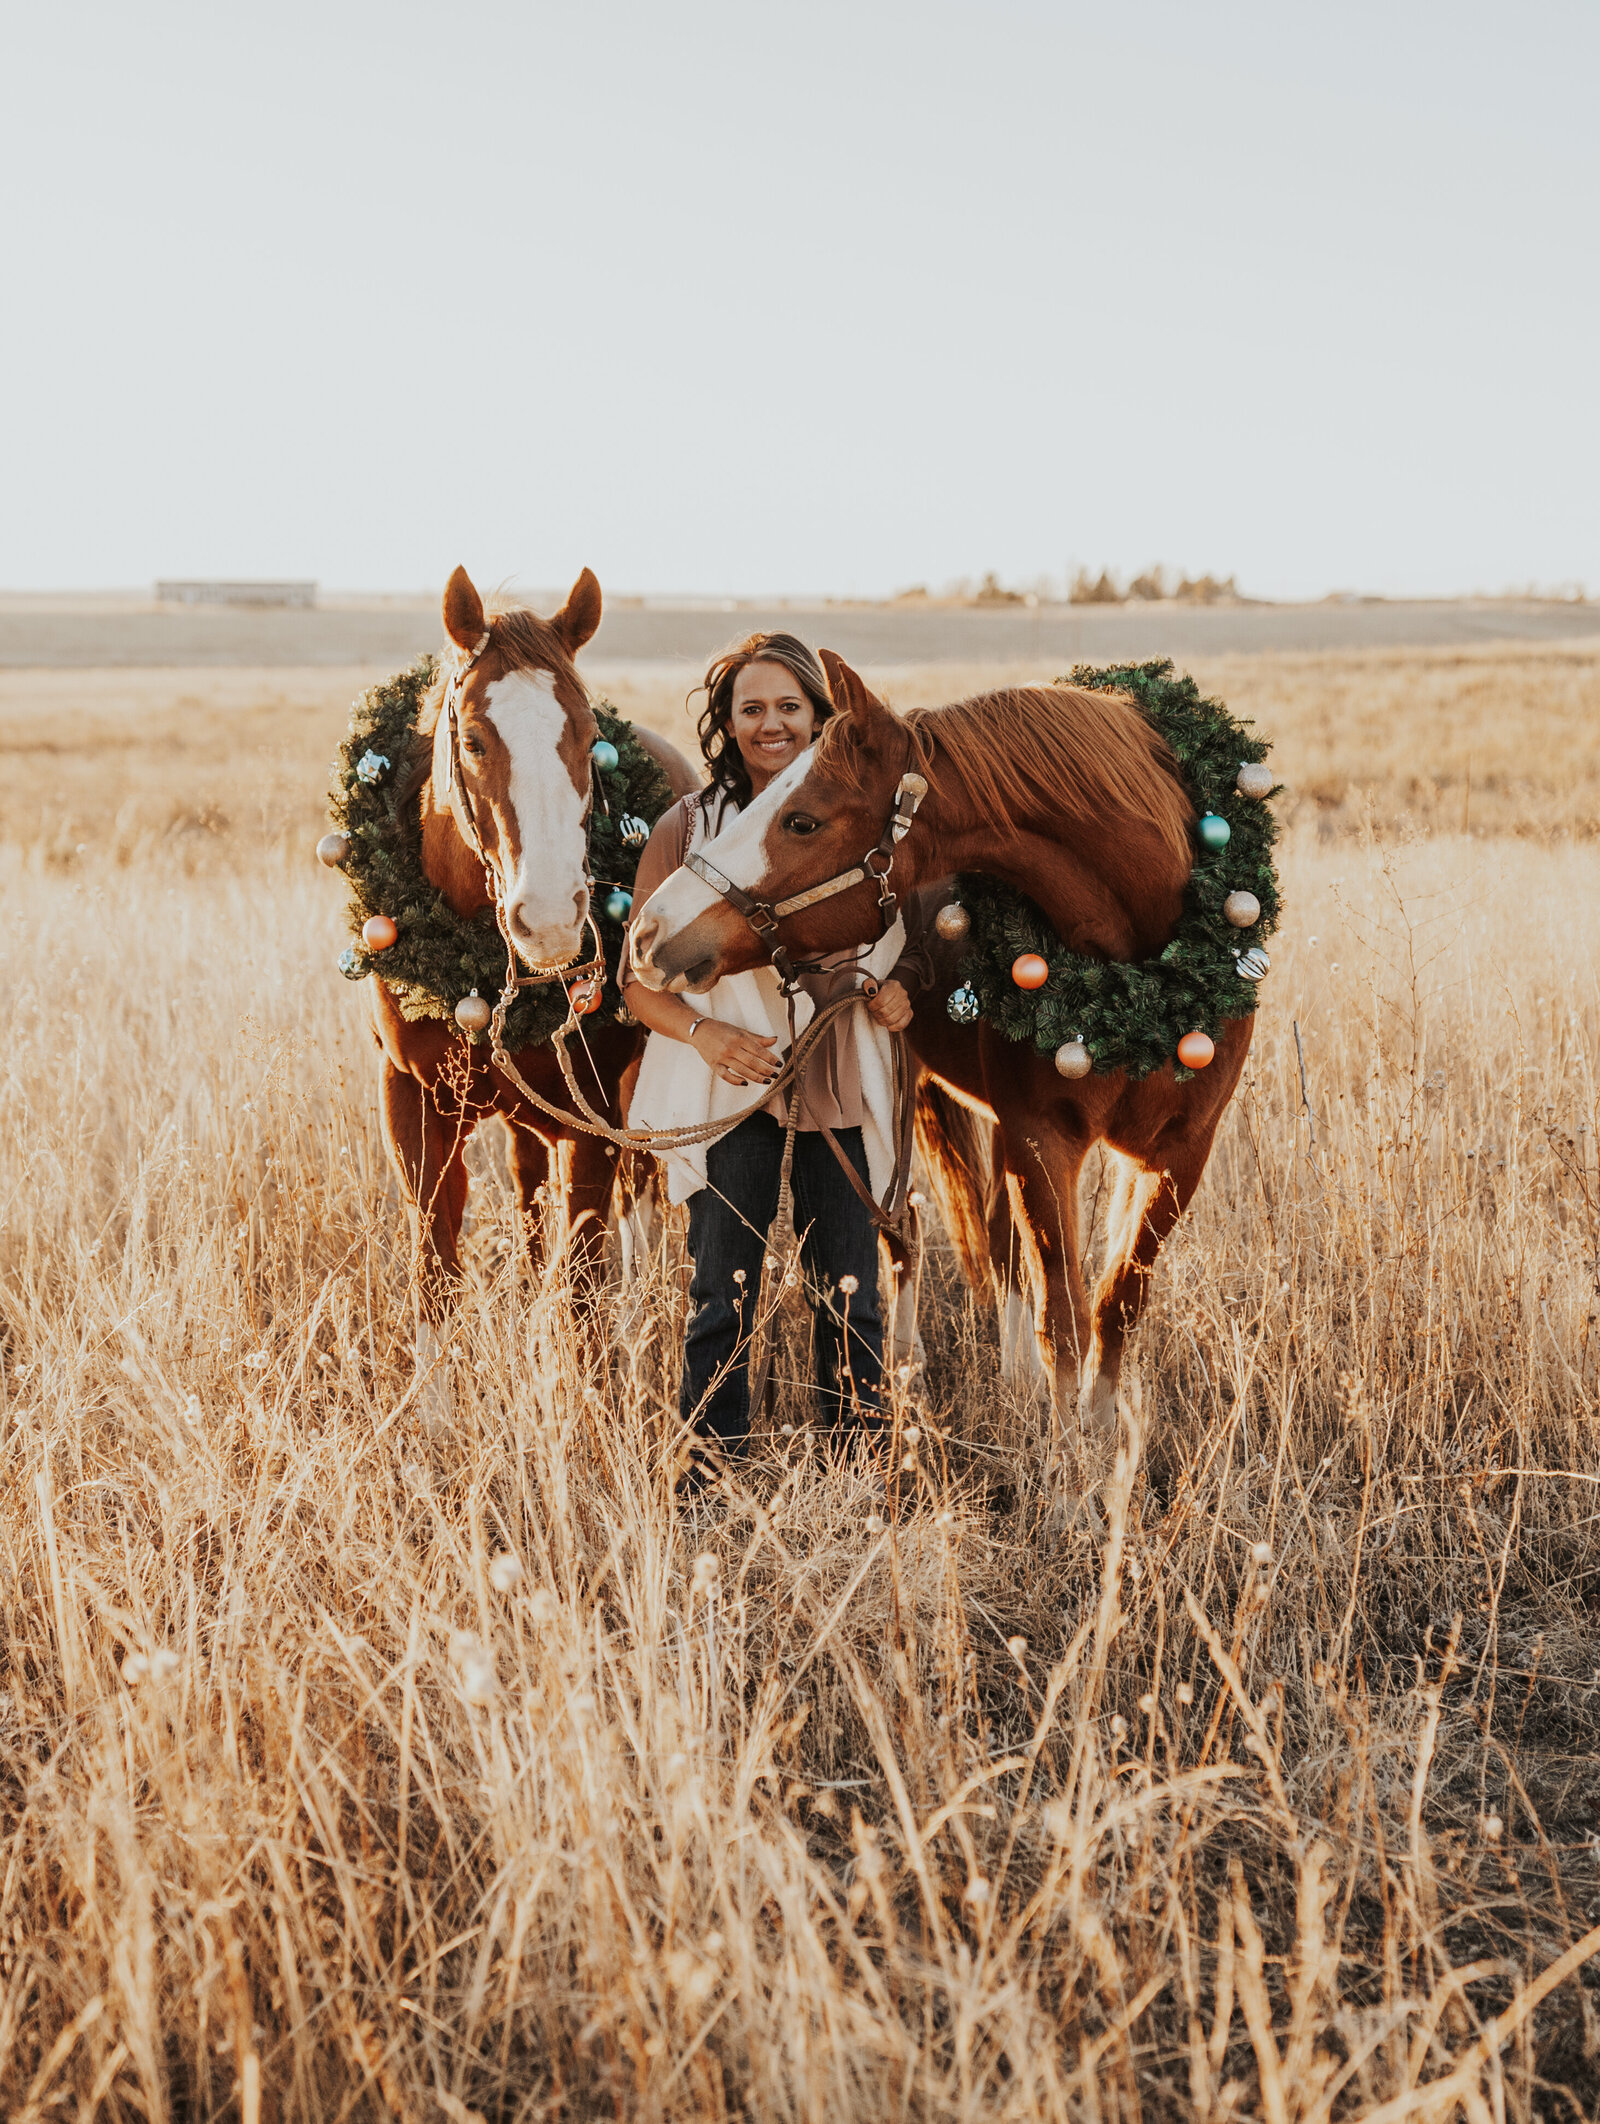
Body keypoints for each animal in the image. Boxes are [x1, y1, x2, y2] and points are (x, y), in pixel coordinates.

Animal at [378, 569, 701, 1393]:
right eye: (472, 740)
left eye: (591, 743)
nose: (552, 921)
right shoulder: (412, 1103)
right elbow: (435, 1274)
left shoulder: (592, 1118)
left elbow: (581, 1293)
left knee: (634, 1205)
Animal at [628, 645, 1257, 1444]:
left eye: (801, 820)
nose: (648, 932)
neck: (1145, 970)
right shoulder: (1042, 1137)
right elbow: (1065, 1313)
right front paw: (1070, 1457)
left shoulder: (1179, 1154)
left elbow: (1113, 1304)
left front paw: (1098, 1435)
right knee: (907, 1228)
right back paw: (908, 1358)